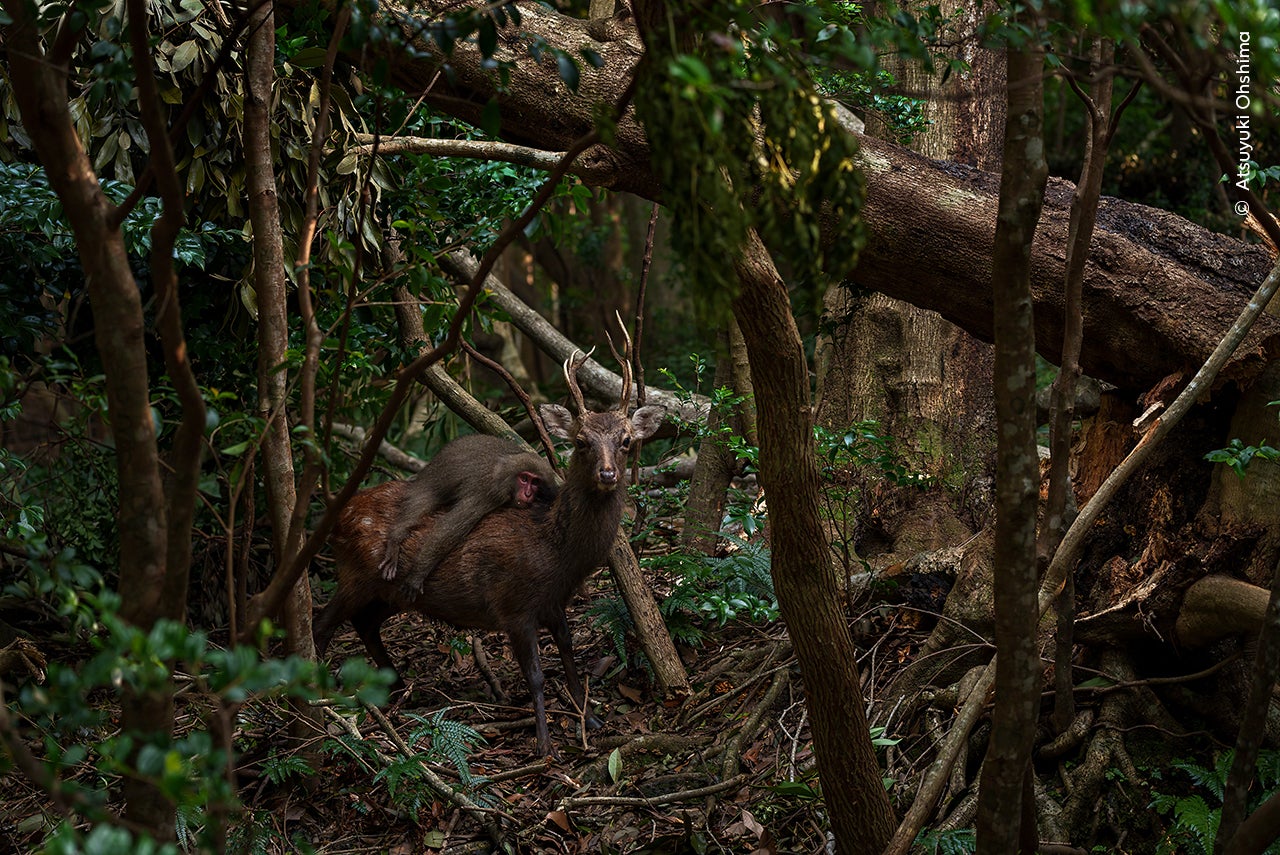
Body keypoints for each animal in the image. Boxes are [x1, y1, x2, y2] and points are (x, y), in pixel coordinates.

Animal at [378, 434, 558, 596]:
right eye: (524, 479)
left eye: (535, 482)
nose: (527, 494)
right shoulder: (489, 492)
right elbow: (448, 530)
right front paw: (416, 575)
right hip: (435, 476)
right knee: (423, 498)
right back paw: (396, 536)